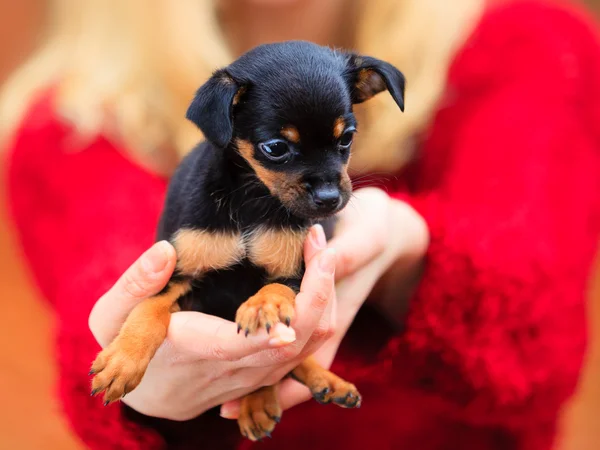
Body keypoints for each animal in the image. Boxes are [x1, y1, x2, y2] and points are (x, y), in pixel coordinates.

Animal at [90, 40, 404, 442]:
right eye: (276, 148)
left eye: (346, 138)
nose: (330, 199)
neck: (252, 199)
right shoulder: (179, 273)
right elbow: (148, 310)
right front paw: (122, 360)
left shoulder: (294, 271)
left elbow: (276, 297)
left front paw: (262, 307)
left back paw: (315, 384)